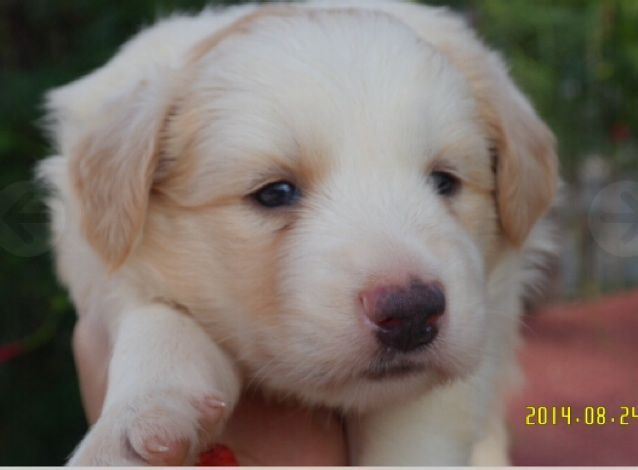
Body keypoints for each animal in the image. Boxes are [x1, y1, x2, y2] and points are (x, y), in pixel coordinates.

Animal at [39, 0, 558, 465]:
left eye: (445, 182)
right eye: (275, 193)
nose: (412, 312)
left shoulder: (485, 323)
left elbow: (416, 434)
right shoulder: (111, 272)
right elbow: (162, 324)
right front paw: (133, 427)